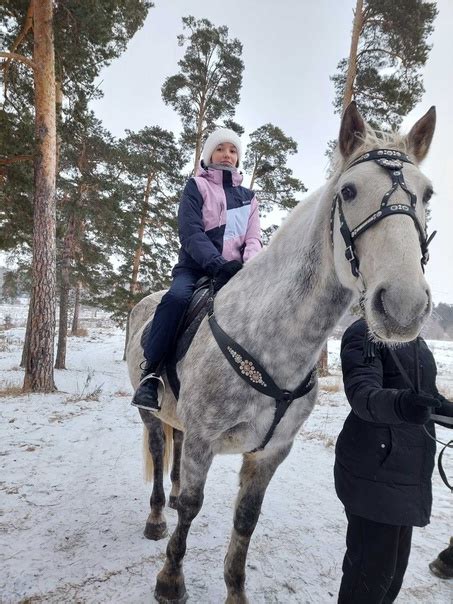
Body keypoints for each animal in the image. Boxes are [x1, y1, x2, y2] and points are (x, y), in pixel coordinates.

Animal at [126, 101, 434, 600]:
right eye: (349, 191)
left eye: (427, 195)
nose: (404, 305)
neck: (272, 343)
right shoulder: (204, 440)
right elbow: (192, 506)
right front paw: (170, 581)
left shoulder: (270, 453)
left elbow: (245, 522)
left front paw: (235, 592)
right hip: (150, 413)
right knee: (158, 453)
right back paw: (157, 516)